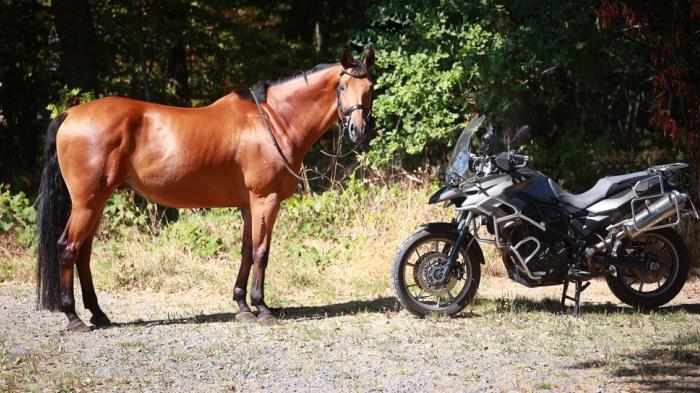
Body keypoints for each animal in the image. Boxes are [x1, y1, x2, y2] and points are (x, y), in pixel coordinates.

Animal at [35, 49, 374, 330]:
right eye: (342, 88)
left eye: (370, 89)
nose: (357, 130)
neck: (275, 120)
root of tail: (71, 114)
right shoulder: (265, 200)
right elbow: (261, 252)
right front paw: (262, 308)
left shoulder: (249, 205)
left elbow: (246, 252)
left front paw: (242, 306)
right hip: (87, 203)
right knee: (68, 248)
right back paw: (74, 317)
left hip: (97, 202)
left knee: (84, 253)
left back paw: (98, 314)